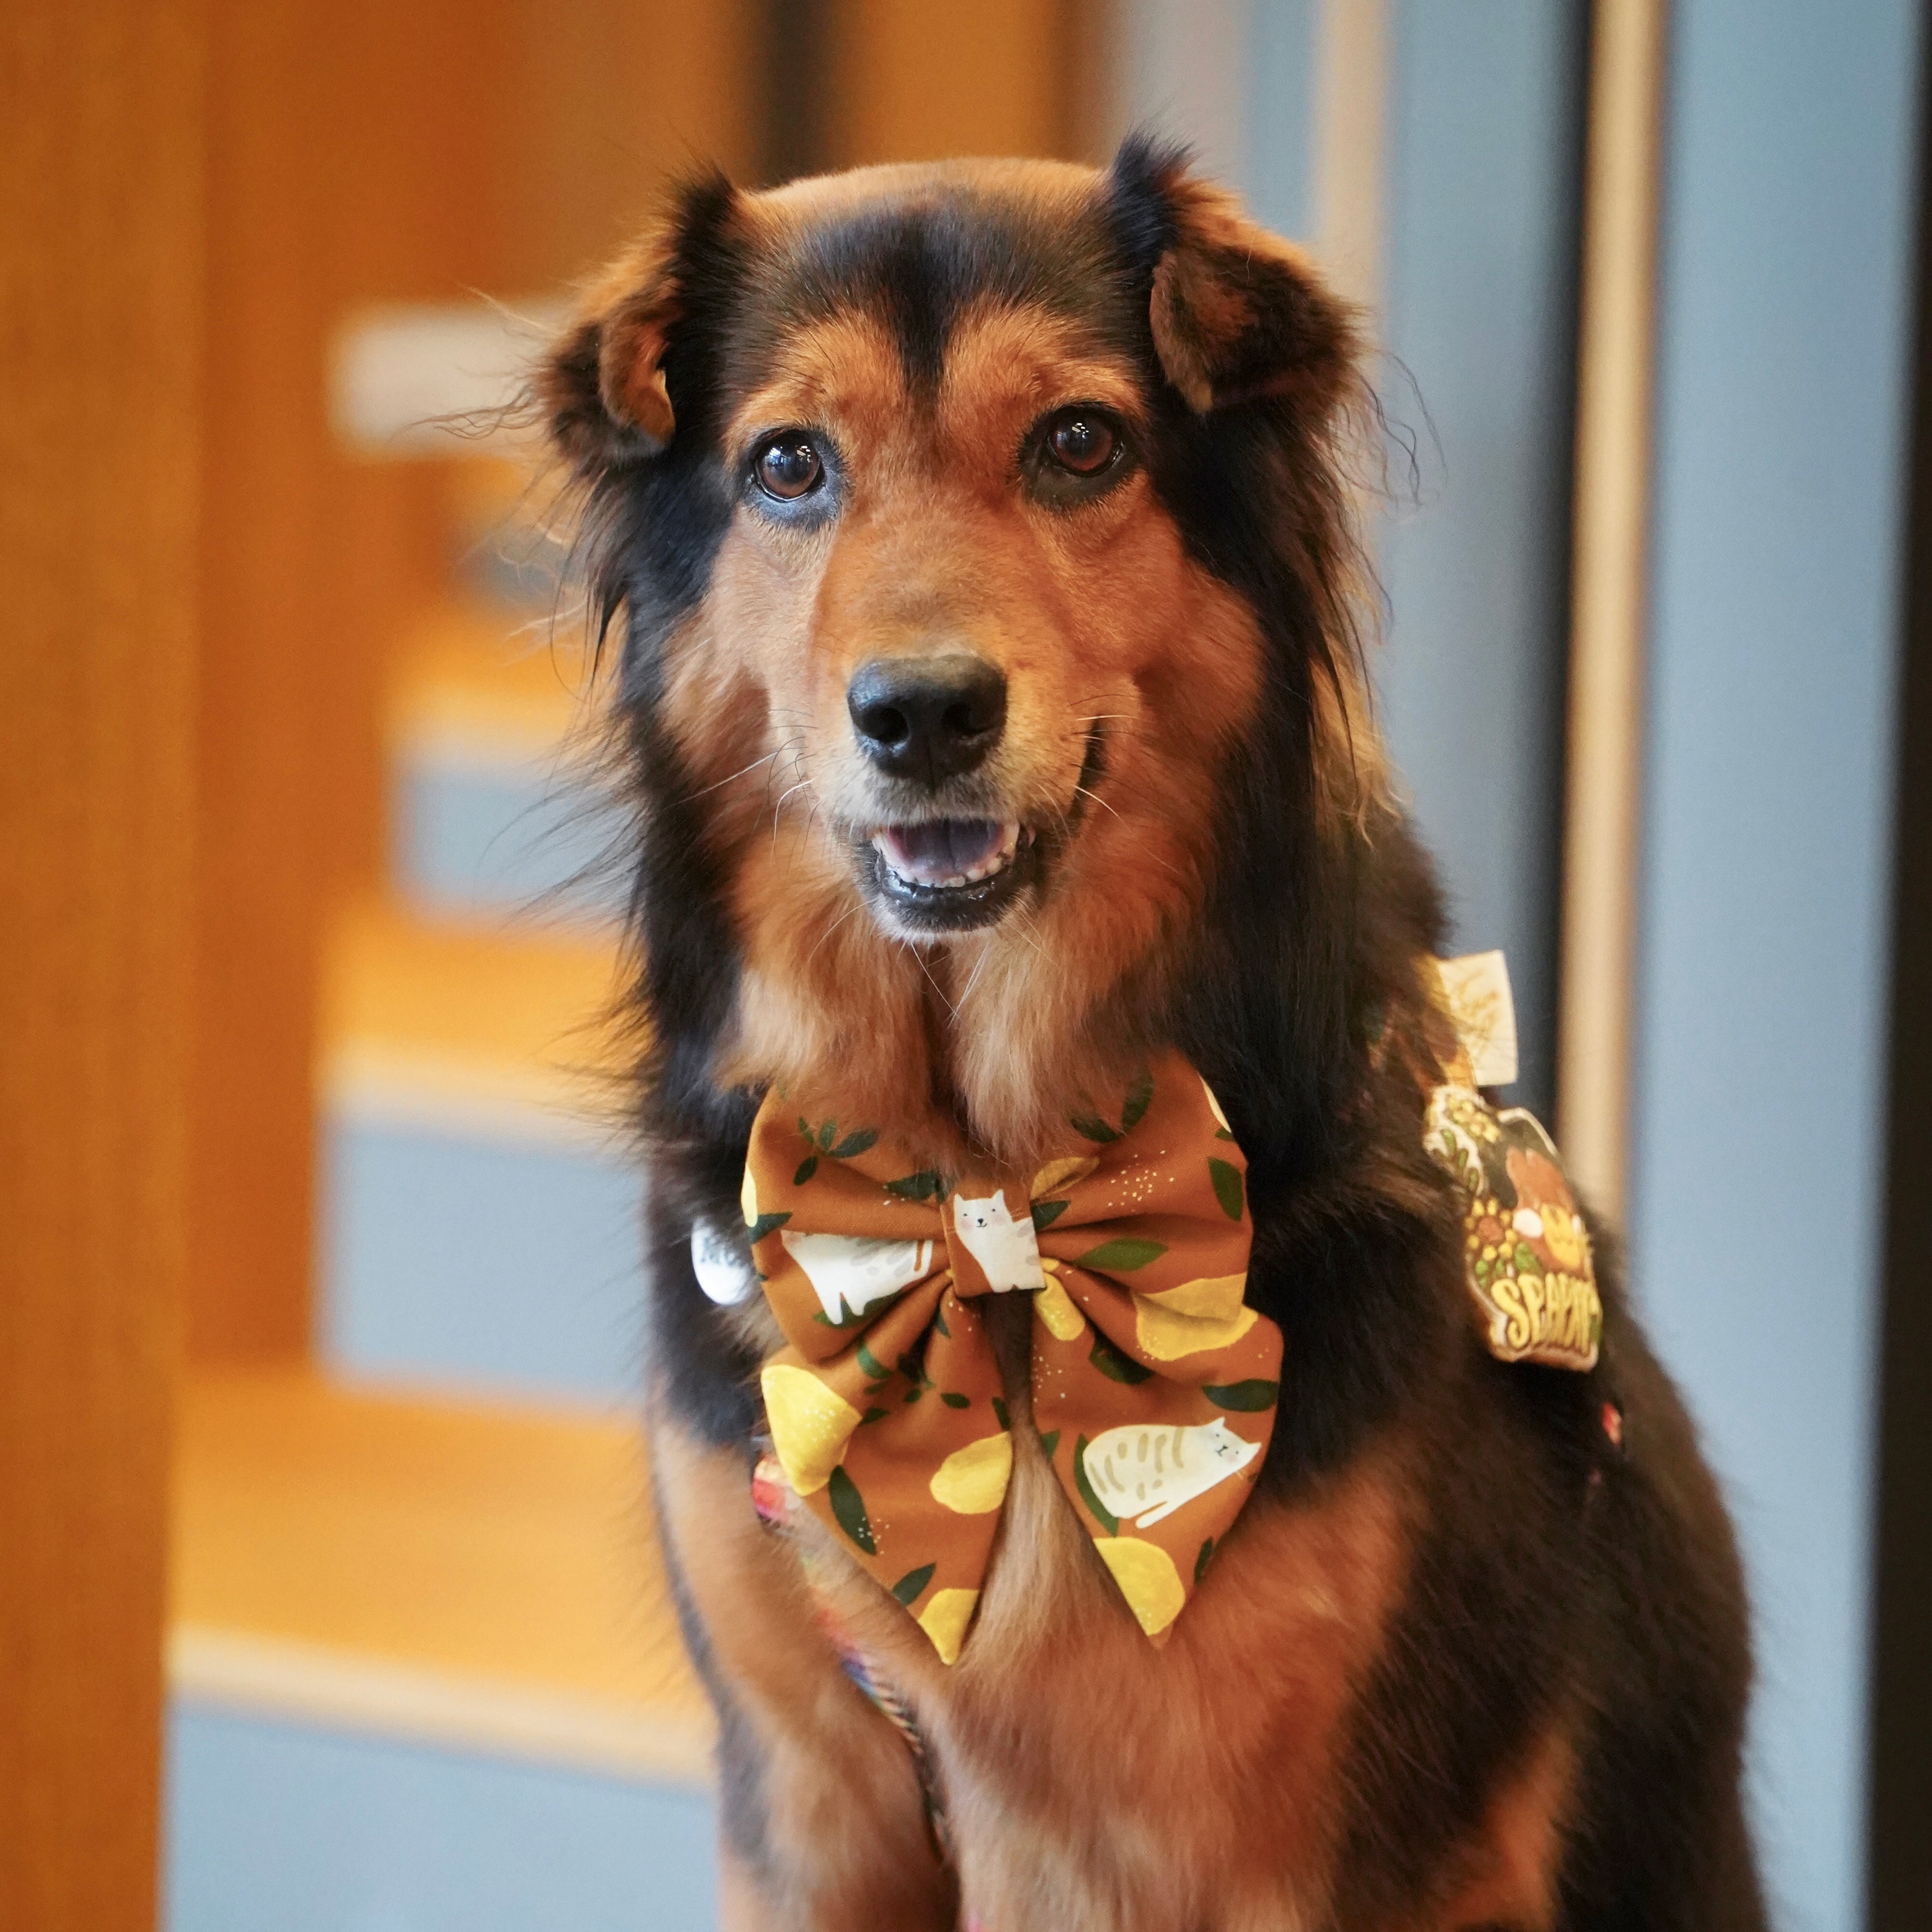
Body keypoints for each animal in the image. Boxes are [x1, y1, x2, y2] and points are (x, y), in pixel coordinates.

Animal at [537, 140, 1762, 1932]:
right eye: (786, 466)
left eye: (1078, 444)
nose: (923, 714)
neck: (992, 1200)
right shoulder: (805, 1809)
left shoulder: (1311, 1847)